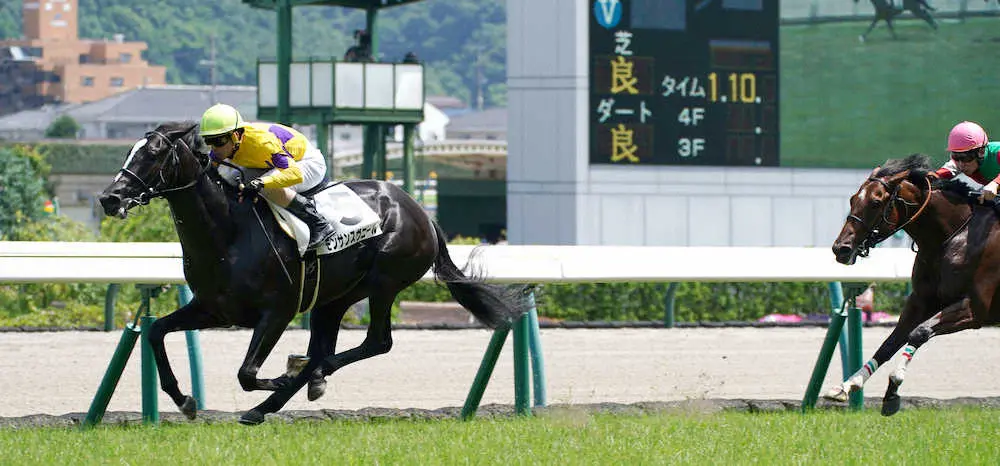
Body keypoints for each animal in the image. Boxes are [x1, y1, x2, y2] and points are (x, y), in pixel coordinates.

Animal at [824, 155, 996, 416]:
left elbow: (920, 331)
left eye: (876, 202)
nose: (840, 248)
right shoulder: (920, 301)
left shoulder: (975, 309)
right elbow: (891, 341)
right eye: (853, 199)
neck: (956, 236)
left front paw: (894, 385)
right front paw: (847, 385)